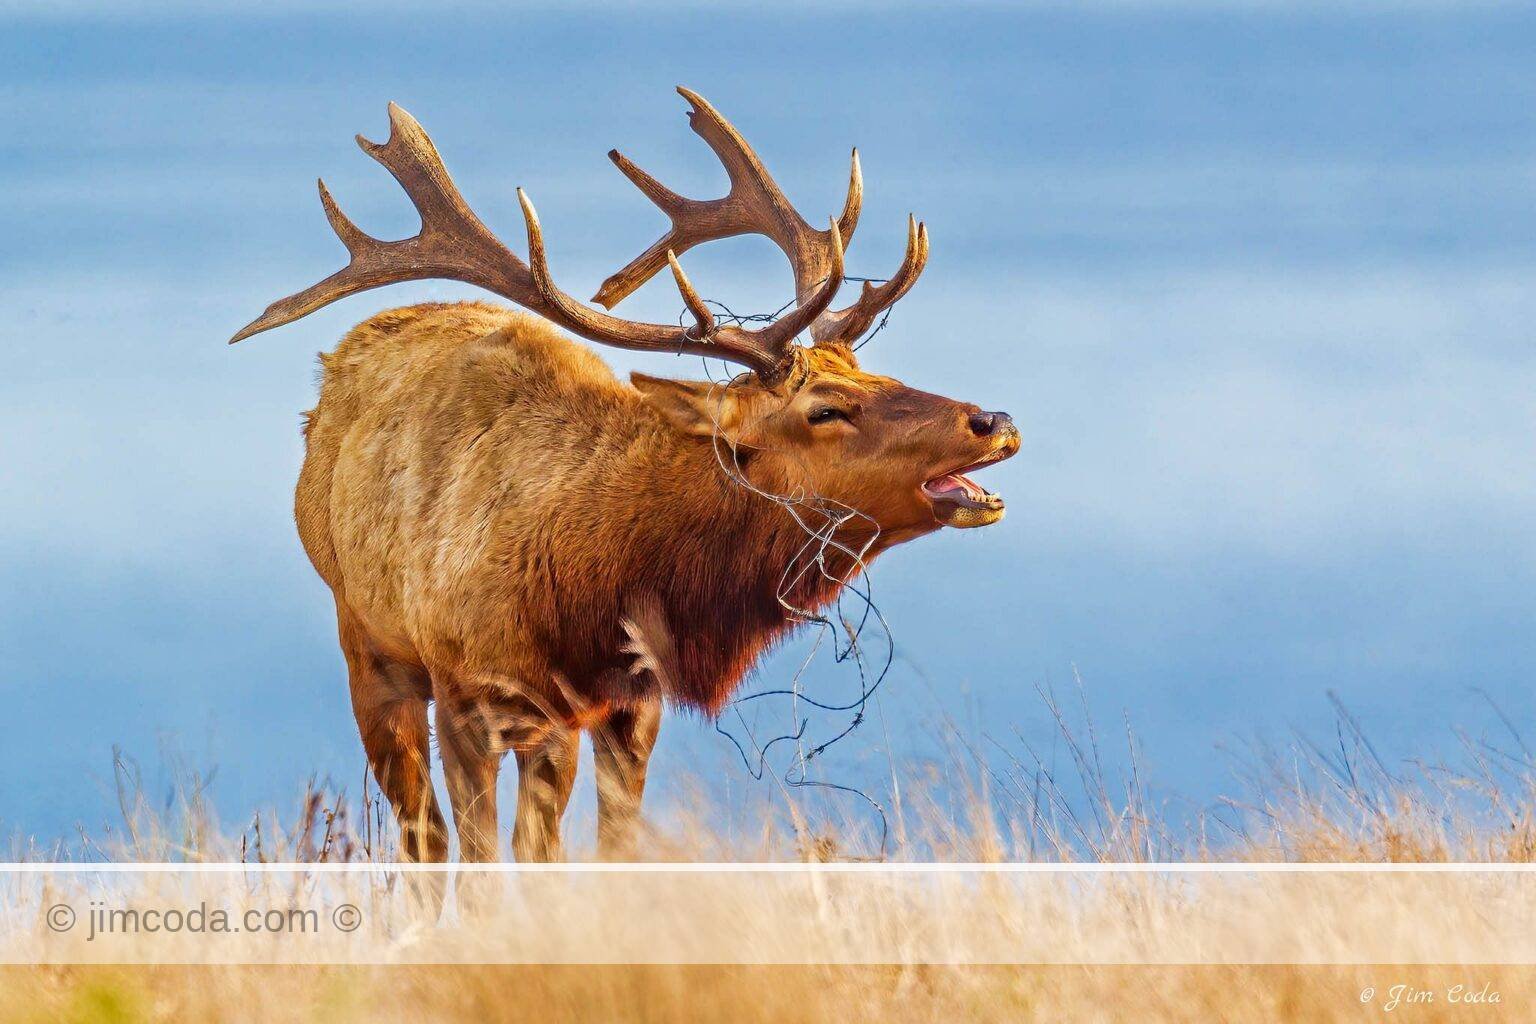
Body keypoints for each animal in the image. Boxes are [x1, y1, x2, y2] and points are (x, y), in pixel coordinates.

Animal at [230, 87, 1018, 866]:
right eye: (825, 408)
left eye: (868, 371)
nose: (994, 420)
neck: (594, 576)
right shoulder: (470, 695)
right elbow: (480, 863)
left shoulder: (627, 703)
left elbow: (604, 856)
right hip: (370, 652)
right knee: (424, 841)